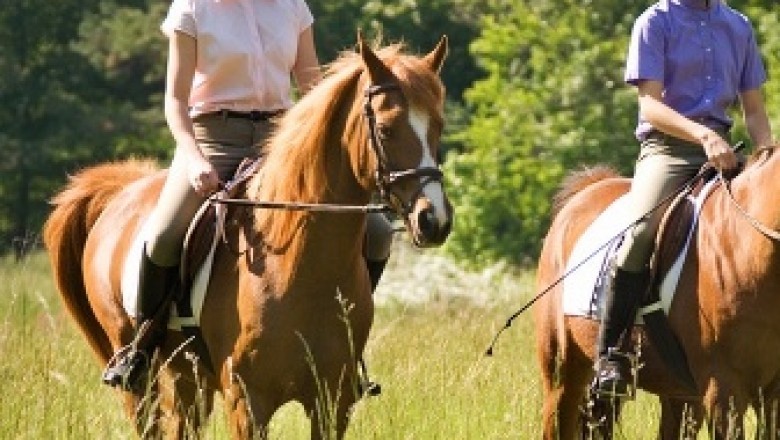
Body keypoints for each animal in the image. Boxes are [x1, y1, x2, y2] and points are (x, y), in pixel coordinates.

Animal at [43, 35, 452, 439]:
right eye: (385, 129)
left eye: (438, 127)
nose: (434, 220)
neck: (298, 267)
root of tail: (121, 190)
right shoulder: (247, 401)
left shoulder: (332, 402)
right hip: (140, 380)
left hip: (188, 377)